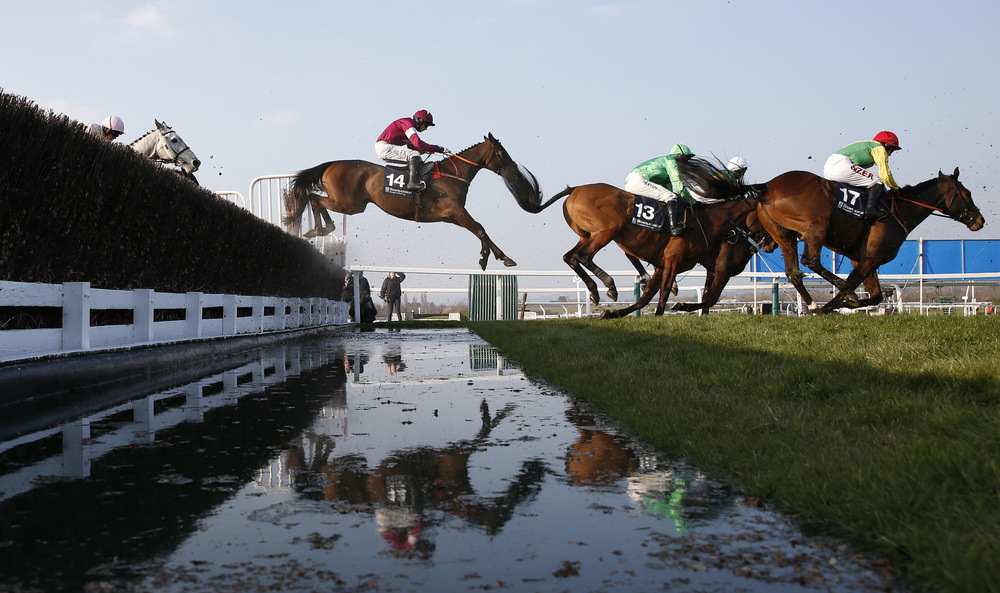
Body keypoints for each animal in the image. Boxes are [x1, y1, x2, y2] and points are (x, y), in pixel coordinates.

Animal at [286, 133, 544, 270]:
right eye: (502, 152)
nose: (514, 169)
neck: (453, 174)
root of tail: (332, 163)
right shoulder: (455, 211)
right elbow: (480, 229)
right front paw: (493, 257)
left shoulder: (452, 217)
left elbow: (482, 230)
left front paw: (495, 256)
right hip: (349, 204)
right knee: (315, 199)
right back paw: (321, 228)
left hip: (350, 204)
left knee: (315, 199)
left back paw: (319, 229)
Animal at [528, 183, 752, 316]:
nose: (750, 241)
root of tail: (575, 189)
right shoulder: (683, 259)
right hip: (608, 230)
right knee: (583, 256)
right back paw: (609, 286)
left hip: (587, 234)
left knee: (570, 257)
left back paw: (595, 291)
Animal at [680, 157, 984, 314]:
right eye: (966, 193)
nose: (979, 220)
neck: (900, 212)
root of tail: (767, 187)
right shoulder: (870, 259)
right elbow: (856, 287)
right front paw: (841, 302)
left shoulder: (864, 259)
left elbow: (876, 296)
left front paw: (844, 303)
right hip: (817, 223)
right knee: (811, 261)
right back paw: (822, 304)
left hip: (785, 235)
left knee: (795, 271)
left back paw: (813, 302)